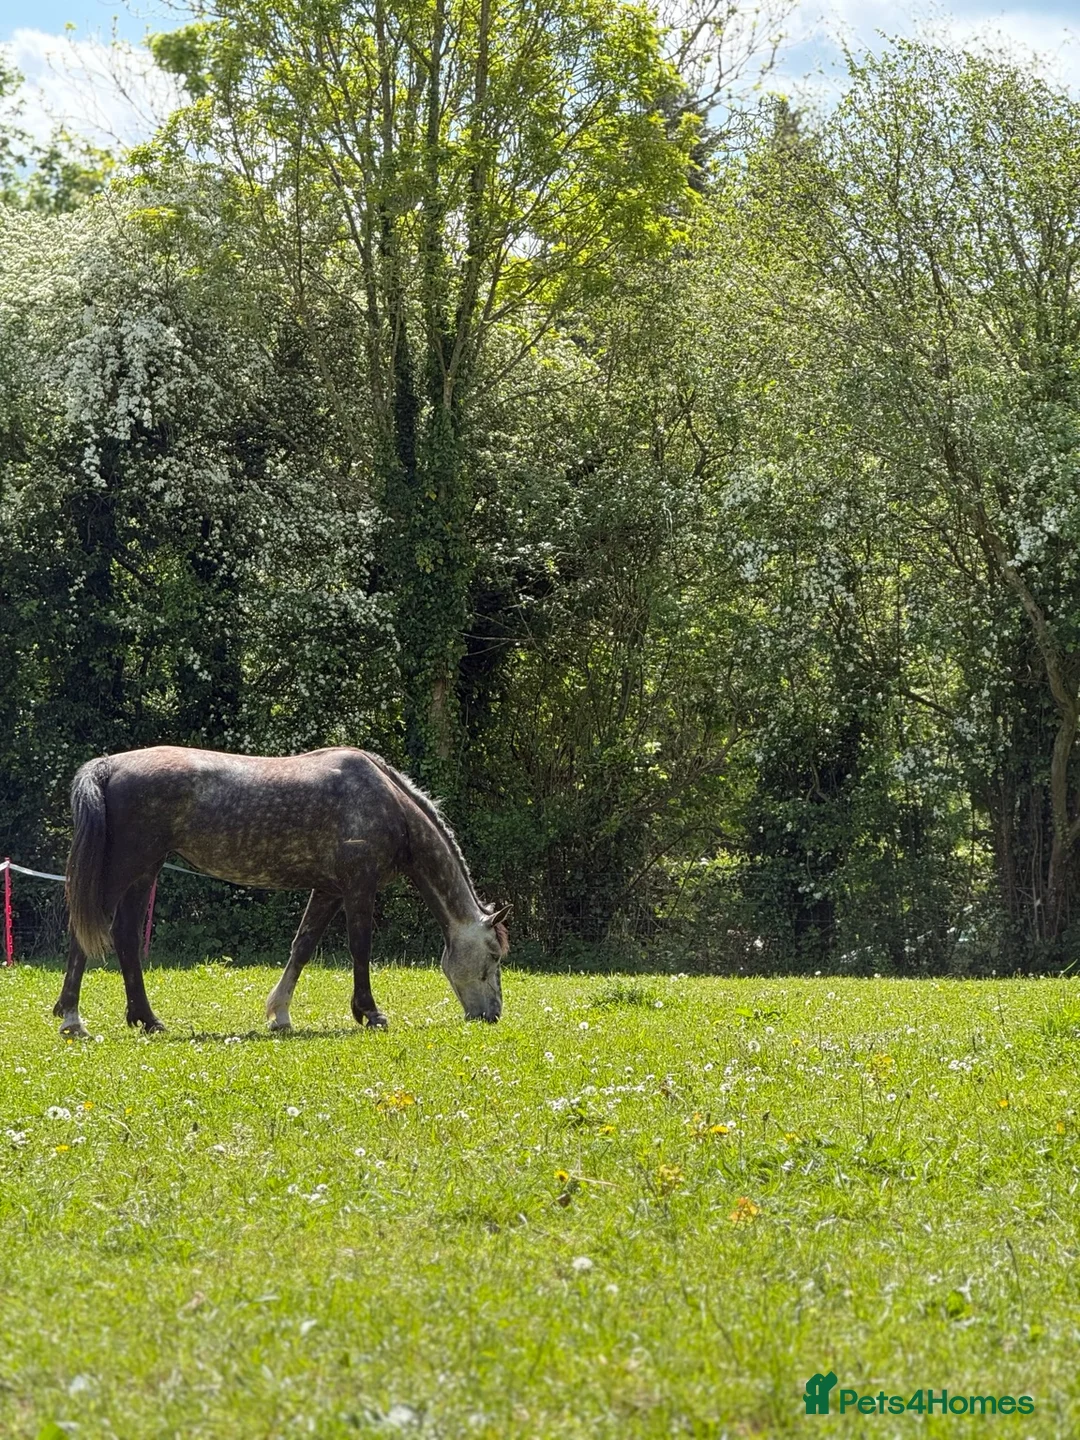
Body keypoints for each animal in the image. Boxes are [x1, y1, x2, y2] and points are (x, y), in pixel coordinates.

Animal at [56, 745, 509, 1038]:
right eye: (493, 955)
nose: (492, 1015)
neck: (388, 803)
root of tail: (108, 766)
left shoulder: (327, 890)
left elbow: (302, 947)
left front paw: (280, 1014)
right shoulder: (358, 887)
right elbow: (360, 948)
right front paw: (370, 1012)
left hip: (144, 873)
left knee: (126, 939)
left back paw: (148, 1020)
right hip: (124, 870)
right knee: (85, 934)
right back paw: (72, 1019)